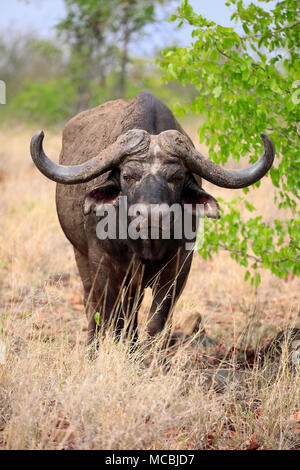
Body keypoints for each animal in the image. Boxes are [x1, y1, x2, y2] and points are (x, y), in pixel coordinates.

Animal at [30, 92, 274, 346]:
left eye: (177, 177)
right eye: (128, 175)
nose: (151, 216)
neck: (145, 242)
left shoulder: (179, 266)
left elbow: (158, 318)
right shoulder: (102, 262)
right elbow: (111, 314)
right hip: (80, 255)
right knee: (92, 304)